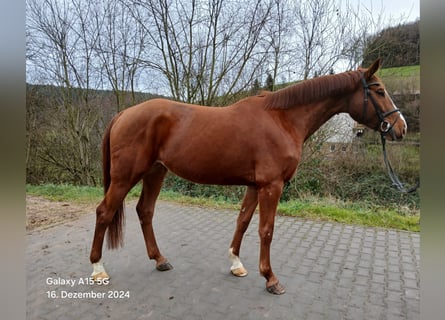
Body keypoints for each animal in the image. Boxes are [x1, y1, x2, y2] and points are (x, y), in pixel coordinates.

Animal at [89, 58, 406, 294]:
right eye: (378, 90)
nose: (401, 128)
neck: (282, 119)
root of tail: (123, 114)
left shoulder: (255, 185)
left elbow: (242, 221)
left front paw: (236, 264)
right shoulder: (272, 186)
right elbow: (266, 230)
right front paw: (271, 279)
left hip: (156, 172)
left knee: (145, 211)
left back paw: (160, 260)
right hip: (125, 177)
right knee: (104, 212)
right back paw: (98, 269)